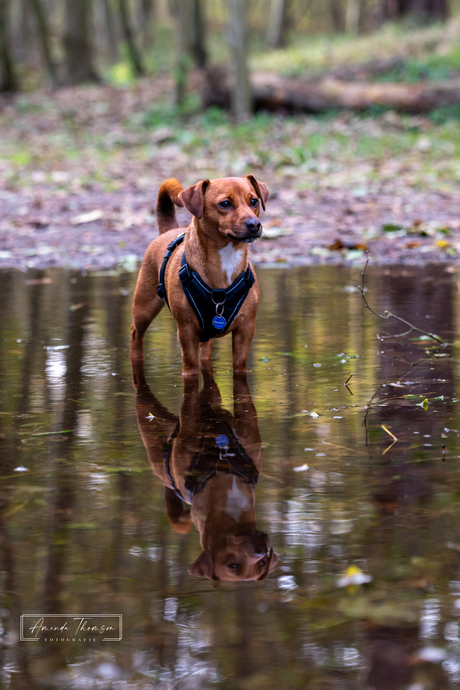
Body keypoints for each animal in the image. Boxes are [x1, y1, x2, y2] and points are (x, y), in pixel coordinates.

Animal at [130, 173, 270, 376]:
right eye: (225, 204)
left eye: (254, 201)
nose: (254, 224)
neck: (227, 258)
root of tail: (168, 230)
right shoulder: (186, 331)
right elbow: (190, 368)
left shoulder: (246, 329)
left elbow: (239, 366)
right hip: (144, 307)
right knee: (136, 333)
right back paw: (136, 359)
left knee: (205, 351)